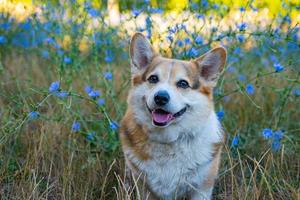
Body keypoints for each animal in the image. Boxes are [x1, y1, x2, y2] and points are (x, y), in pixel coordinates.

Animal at [119, 33, 225, 200]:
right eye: (153, 79)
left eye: (183, 83)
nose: (161, 97)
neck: (168, 140)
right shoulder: (144, 188)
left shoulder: (201, 189)